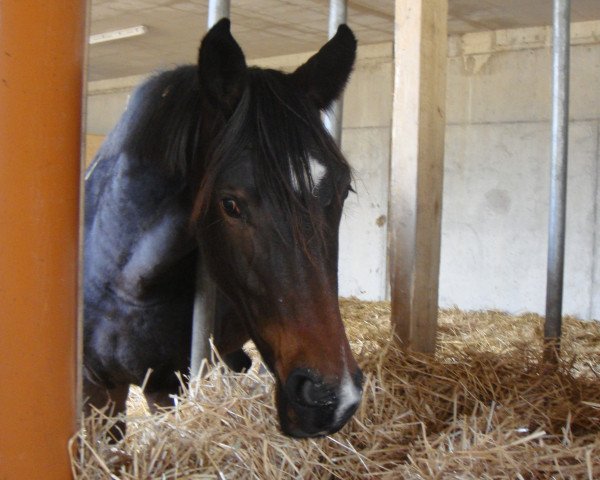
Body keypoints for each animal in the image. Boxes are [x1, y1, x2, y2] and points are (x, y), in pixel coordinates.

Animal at [84, 18, 360, 438]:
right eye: (230, 203)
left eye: (344, 189)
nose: (333, 398)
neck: (122, 285)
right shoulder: (97, 390)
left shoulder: (166, 386)